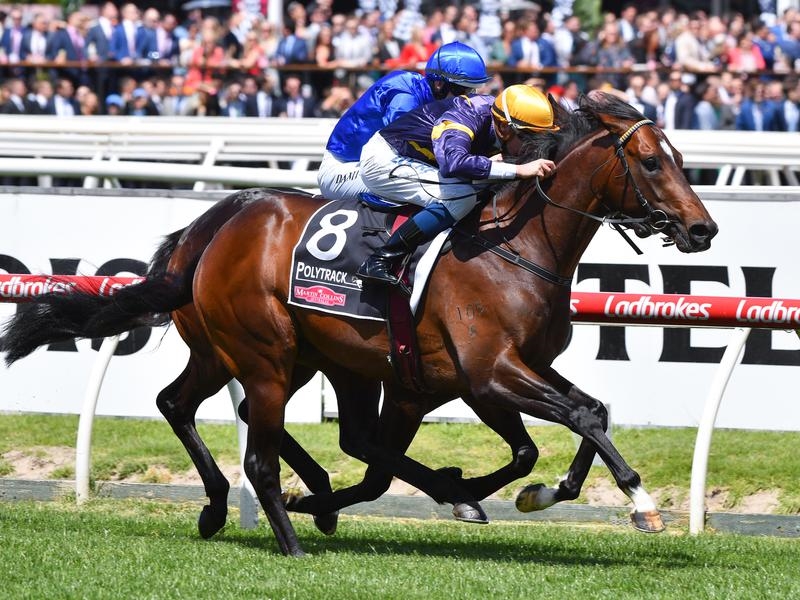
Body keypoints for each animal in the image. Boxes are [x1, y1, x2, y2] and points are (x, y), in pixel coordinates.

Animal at [3, 92, 717, 555]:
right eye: (652, 162)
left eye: (682, 159)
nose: (702, 228)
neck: (514, 246)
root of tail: (214, 222)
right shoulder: (489, 371)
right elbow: (580, 417)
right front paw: (641, 504)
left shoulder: (480, 376)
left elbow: (555, 431)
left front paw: (523, 492)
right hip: (265, 353)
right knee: (255, 442)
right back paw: (288, 525)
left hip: (283, 355)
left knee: (188, 405)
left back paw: (247, 503)